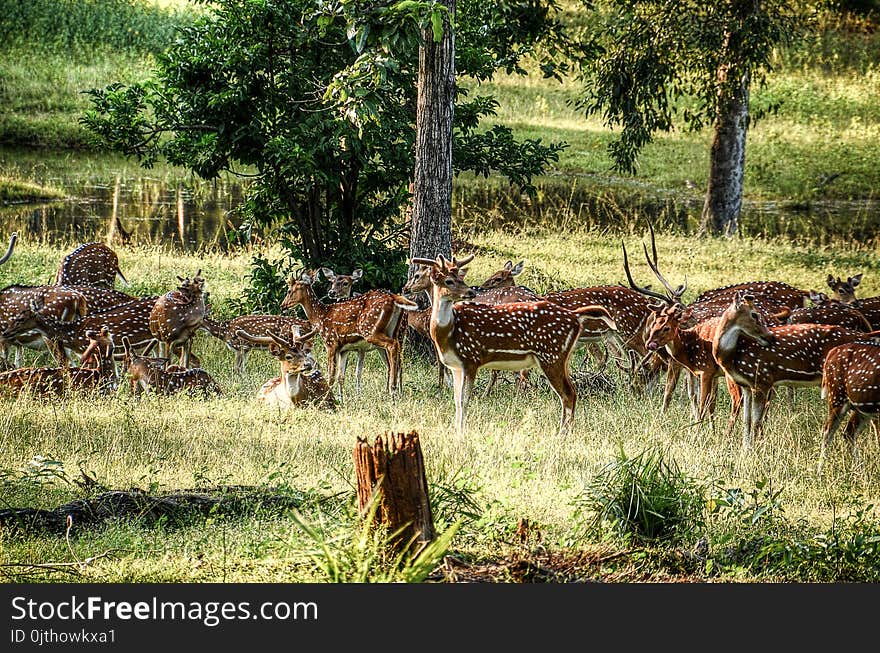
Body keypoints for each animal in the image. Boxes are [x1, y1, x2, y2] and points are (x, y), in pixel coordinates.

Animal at [282, 268, 420, 394]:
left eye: (289, 290)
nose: (283, 305)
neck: (320, 316)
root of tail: (393, 297)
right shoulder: (344, 349)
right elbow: (341, 376)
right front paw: (340, 398)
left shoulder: (331, 342)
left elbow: (331, 376)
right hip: (394, 332)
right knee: (396, 360)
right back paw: (394, 391)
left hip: (371, 330)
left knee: (392, 347)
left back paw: (393, 390)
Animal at [410, 252, 616, 436]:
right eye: (449, 281)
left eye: (459, 278)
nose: (470, 292)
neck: (448, 332)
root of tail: (575, 316)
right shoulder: (455, 366)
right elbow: (456, 401)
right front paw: (456, 432)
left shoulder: (471, 358)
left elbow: (464, 400)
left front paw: (461, 434)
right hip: (562, 356)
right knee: (571, 391)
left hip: (551, 355)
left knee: (568, 394)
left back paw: (562, 435)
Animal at [712, 290, 880, 448]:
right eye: (754, 314)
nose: (771, 337)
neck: (731, 357)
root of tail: (867, 336)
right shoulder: (747, 385)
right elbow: (746, 421)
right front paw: (745, 449)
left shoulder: (762, 378)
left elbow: (756, 422)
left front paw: (755, 449)